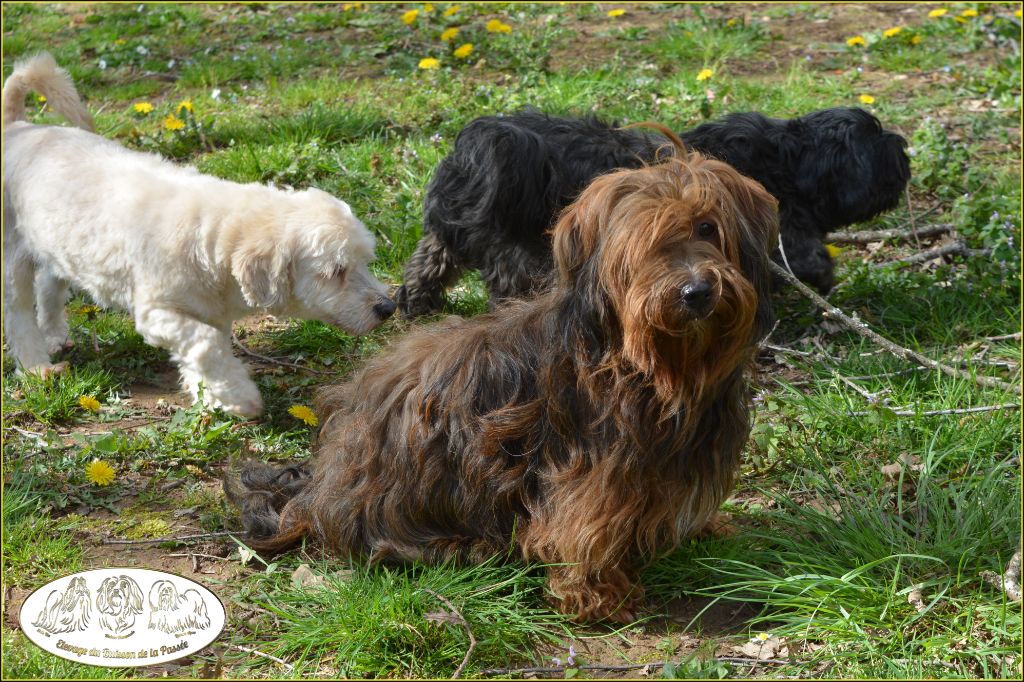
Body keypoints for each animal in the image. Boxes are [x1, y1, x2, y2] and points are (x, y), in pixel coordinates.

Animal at [2, 54, 395, 413]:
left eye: (364, 262)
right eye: (336, 272)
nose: (388, 308)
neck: (215, 236)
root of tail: (18, 127)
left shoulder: (210, 315)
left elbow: (205, 353)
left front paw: (212, 397)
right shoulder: (158, 313)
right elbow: (206, 345)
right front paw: (239, 398)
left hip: (58, 245)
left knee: (49, 285)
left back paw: (55, 335)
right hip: (13, 262)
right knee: (19, 314)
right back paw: (37, 369)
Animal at [228, 144, 778, 622]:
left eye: (707, 226)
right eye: (646, 242)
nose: (697, 291)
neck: (646, 364)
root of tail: (320, 486)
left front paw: (703, 529)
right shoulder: (589, 473)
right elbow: (583, 531)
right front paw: (599, 597)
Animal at [395, 106, 909, 313]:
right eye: (875, 136)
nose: (903, 147)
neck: (791, 160)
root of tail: (479, 156)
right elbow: (804, 259)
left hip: (448, 237)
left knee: (429, 264)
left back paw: (416, 303)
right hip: (519, 255)